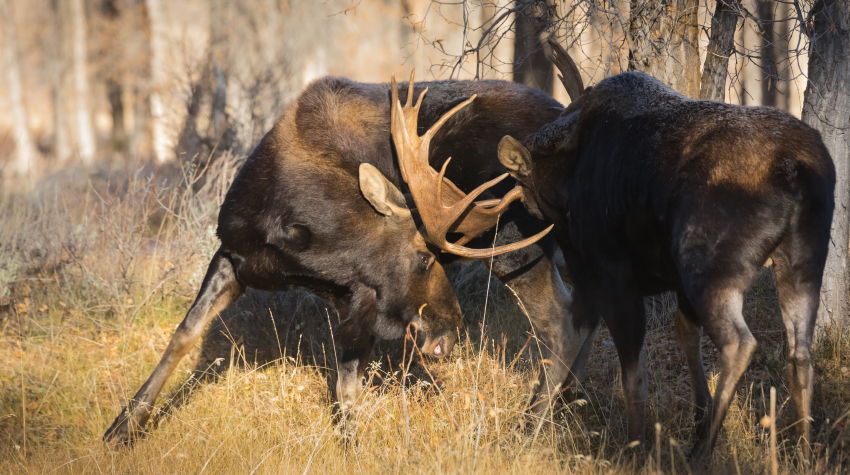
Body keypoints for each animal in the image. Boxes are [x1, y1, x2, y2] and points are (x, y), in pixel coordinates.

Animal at [102, 75, 588, 446]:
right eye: (423, 258)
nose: (450, 333)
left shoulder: (359, 296)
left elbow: (346, 386)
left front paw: (350, 446)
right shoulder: (235, 254)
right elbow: (184, 335)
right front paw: (123, 426)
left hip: (515, 240)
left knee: (560, 322)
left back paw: (530, 427)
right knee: (582, 314)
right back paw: (567, 406)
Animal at [496, 39, 836, 462]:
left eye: (524, 193)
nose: (564, 252)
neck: (568, 171)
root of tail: (795, 167)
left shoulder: (612, 273)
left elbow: (629, 372)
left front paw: (634, 450)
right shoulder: (660, 279)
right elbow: (682, 333)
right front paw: (695, 418)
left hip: (709, 265)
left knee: (740, 343)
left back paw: (703, 454)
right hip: (803, 259)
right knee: (800, 352)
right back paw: (803, 453)